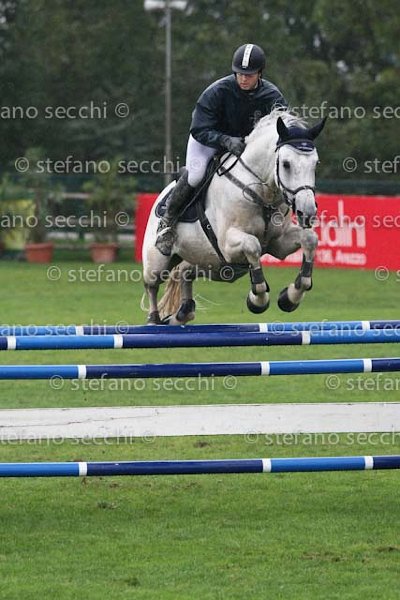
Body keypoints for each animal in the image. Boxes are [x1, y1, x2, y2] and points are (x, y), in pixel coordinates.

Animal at [142, 108, 326, 325]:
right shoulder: (228, 244)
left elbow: (310, 239)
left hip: (214, 266)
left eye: (315, 163)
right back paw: (154, 319)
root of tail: (161, 195)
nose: (307, 211)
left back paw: (183, 313)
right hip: (159, 262)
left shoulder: (278, 244)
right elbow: (253, 246)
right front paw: (257, 300)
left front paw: (291, 297)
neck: (262, 194)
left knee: (184, 271)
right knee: (152, 284)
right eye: (286, 164)